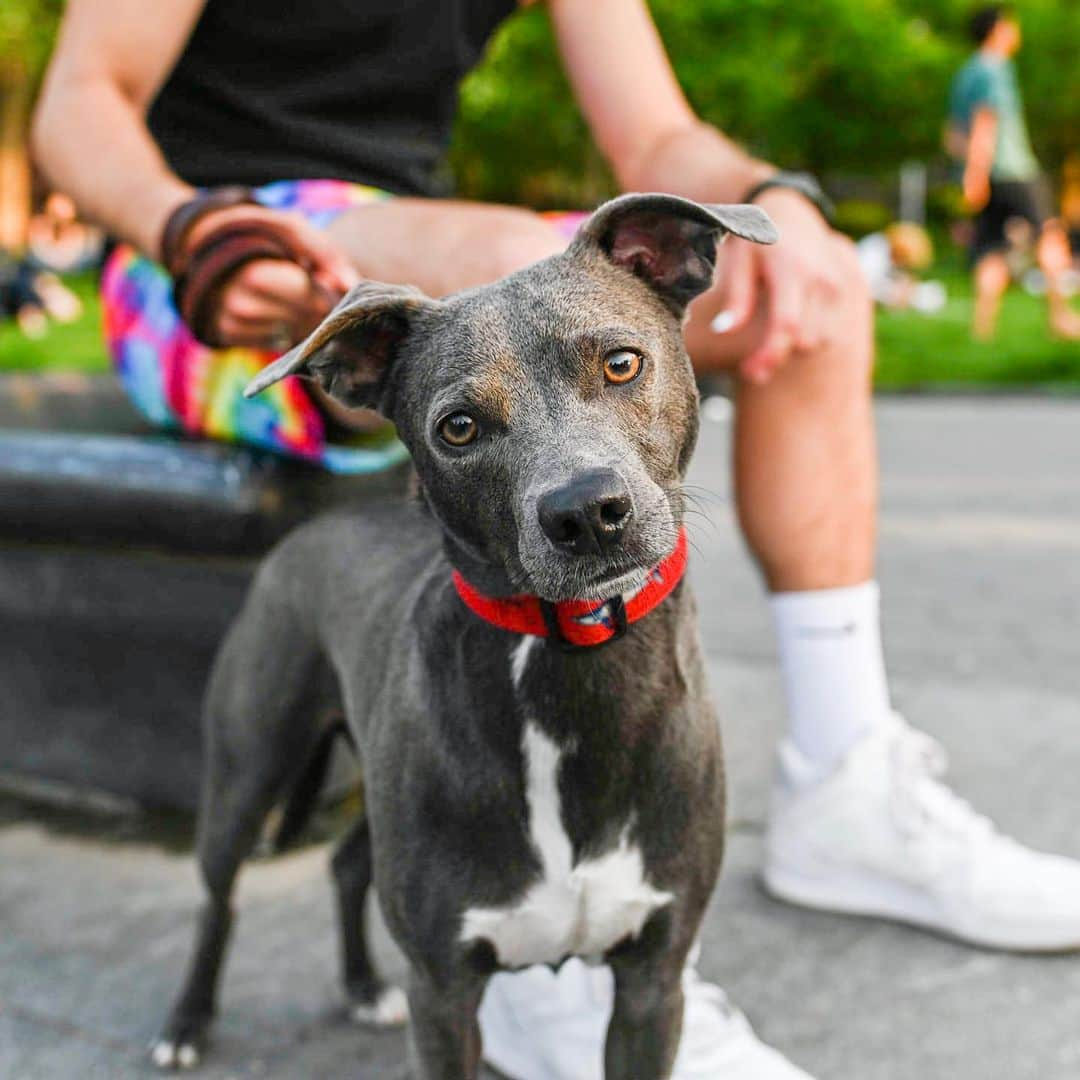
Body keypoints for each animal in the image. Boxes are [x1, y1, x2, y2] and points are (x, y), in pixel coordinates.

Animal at [152, 194, 777, 1080]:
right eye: (458, 427)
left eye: (622, 363)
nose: (587, 512)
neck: (569, 672)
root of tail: (317, 527)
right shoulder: (444, 995)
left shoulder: (653, 982)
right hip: (250, 765)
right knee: (218, 895)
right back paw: (187, 1022)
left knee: (346, 861)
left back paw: (360, 987)